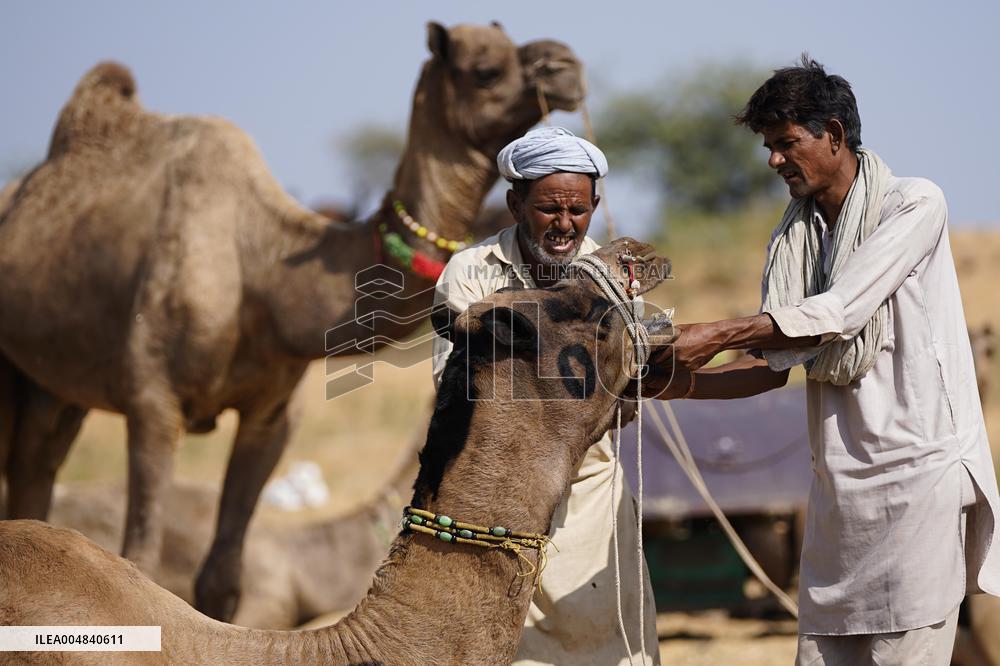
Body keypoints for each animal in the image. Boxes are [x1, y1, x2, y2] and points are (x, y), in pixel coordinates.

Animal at [0, 22, 584, 621]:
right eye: (485, 70)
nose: (565, 64)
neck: (262, 269)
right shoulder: (152, 403)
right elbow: (140, 557)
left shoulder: (271, 415)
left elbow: (222, 579)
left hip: (57, 389)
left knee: (35, 467)